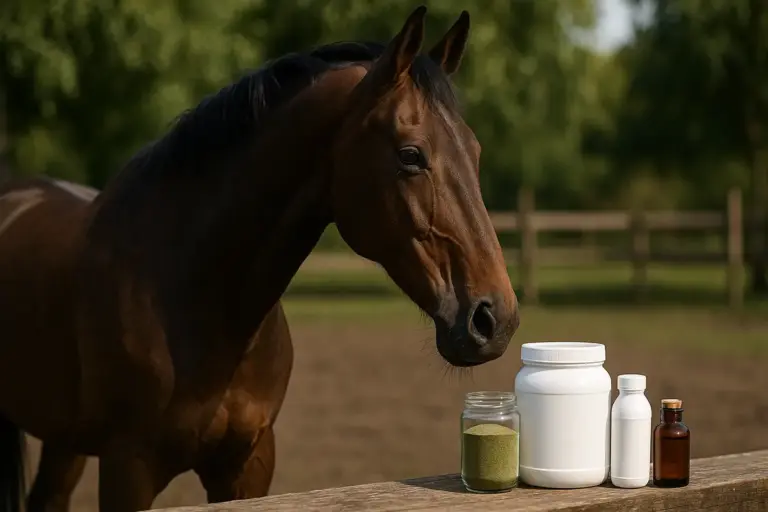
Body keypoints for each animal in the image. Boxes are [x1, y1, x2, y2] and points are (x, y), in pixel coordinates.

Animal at [0, 6, 519, 511]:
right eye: (411, 155)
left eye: (474, 152)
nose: (495, 319)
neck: (188, 296)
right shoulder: (128, 467)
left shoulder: (248, 464)